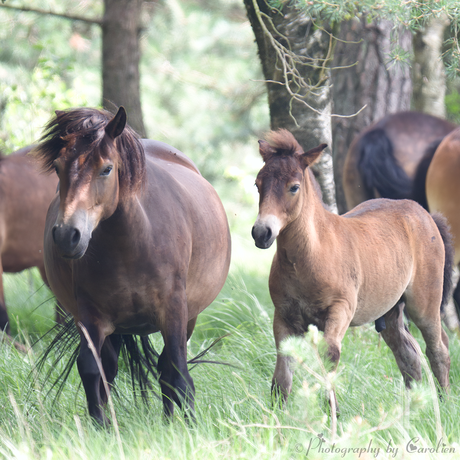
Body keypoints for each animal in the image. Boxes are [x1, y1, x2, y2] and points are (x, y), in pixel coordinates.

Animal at [32, 107, 232, 424]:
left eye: (106, 169)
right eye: (57, 167)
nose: (66, 235)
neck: (132, 244)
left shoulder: (174, 311)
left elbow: (179, 373)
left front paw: (190, 427)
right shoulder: (90, 316)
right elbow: (92, 369)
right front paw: (100, 425)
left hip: (189, 318)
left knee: (166, 368)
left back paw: (169, 421)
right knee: (111, 367)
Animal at [253, 128, 452, 402]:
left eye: (293, 187)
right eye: (257, 184)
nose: (262, 232)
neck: (308, 258)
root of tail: (425, 214)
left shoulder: (341, 309)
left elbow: (330, 355)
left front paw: (330, 409)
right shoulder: (284, 315)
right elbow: (282, 375)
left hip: (425, 305)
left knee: (438, 349)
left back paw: (444, 403)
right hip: (389, 311)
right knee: (408, 355)